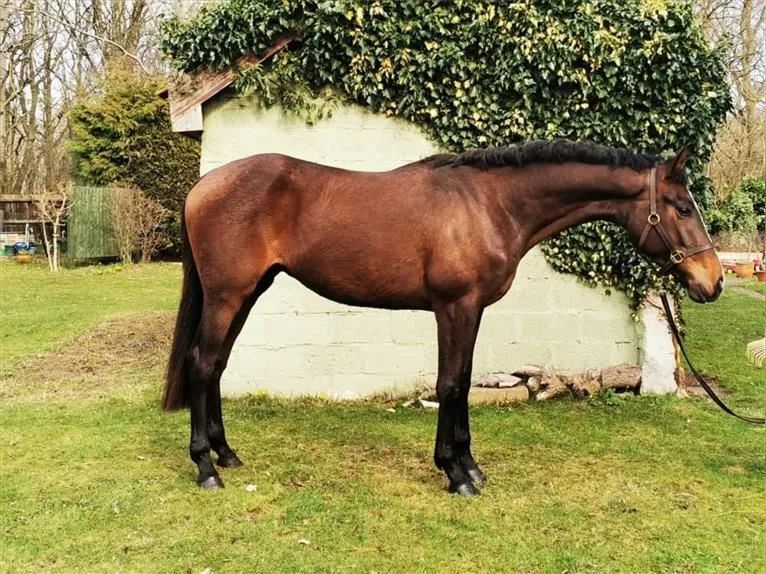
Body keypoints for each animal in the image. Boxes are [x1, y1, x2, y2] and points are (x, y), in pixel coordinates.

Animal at [162, 139, 722, 496]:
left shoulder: (469, 311)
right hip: (228, 295)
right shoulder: (456, 307)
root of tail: (203, 185)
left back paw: (227, 454)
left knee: (216, 365)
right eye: (682, 207)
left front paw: (470, 467)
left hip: (247, 293)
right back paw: (206, 468)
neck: (490, 205)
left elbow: (465, 381)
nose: (712, 281)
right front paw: (455, 475)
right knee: (203, 363)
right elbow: (450, 383)